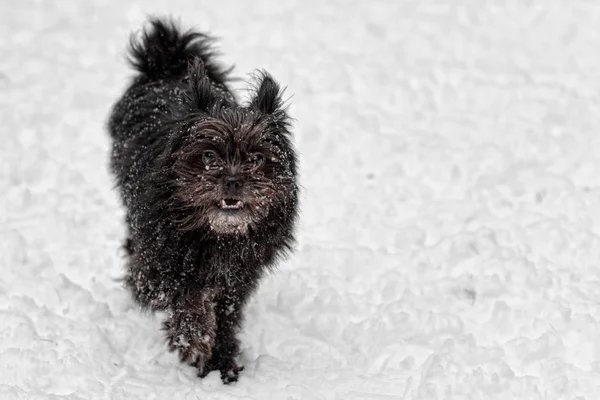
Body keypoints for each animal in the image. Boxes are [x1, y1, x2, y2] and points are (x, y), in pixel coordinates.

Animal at [107, 17, 298, 382]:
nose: (233, 180)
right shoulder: (158, 264)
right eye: (209, 155)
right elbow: (185, 292)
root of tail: (168, 61)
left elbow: (226, 312)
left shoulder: (239, 274)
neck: (217, 233)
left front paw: (222, 359)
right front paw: (193, 338)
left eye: (256, 159)